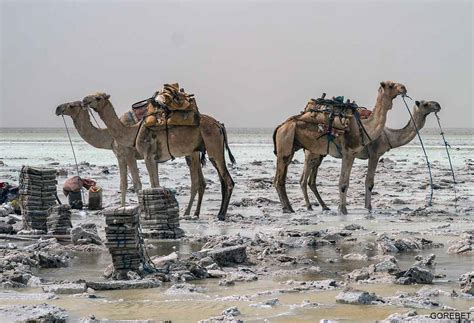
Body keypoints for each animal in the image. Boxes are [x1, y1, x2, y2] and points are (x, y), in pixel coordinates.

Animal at [54, 101, 206, 218]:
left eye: (72, 105)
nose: (58, 108)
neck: (111, 136)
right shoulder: (120, 156)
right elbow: (123, 184)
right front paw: (121, 208)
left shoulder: (129, 154)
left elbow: (137, 184)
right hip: (193, 152)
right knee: (202, 182)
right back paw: (196, 212)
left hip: (191, 151)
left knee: (195, 181)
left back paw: (188, 212)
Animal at [83, 92, 235, 221]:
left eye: (98, 98)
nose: (85, 100)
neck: (133, 131)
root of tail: (219, 125)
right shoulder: (153, 157)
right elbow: (155, 184)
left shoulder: (147, 155)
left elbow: (153, 184)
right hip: (207, 151)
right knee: (219, 179)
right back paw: (211, 213)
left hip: (212, 146)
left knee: (225, 180)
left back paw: (217, 215)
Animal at [274, 80, 408, 215]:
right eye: (391, 85)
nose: (404, 88)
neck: (363, 128)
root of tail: (281, 126)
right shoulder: (348, 152)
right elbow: (343, 182)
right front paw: (343, 210)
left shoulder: (352, 154)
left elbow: (345, 182)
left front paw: (341, 208)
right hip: (285, 142)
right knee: (280, 180)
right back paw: (288, 208)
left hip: (293, 147)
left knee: (281, 178)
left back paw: (291, 207)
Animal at [300, 101, 440, 213]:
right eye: (425, 104)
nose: (438, 105)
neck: (388, 136)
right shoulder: (374, 154)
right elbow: (369, 182)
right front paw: (368, 207)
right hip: (311, 151)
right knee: (303, 179)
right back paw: (309, 206)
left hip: (320, 154)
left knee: (311, 180)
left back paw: (324, 206)